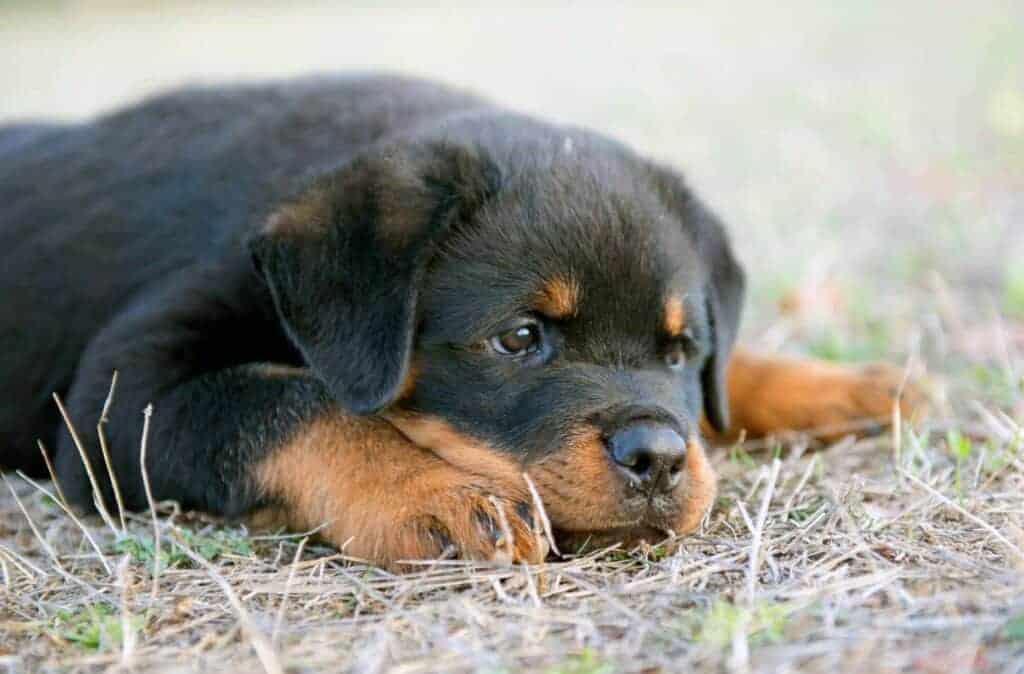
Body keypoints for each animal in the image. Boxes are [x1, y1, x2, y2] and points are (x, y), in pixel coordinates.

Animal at [0, 74, 913, 565]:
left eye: (682, 349)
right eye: (520, 338)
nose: (658, 458)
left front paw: (847, 386)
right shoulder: (118, 394)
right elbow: (301, 402)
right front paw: (434, 492)